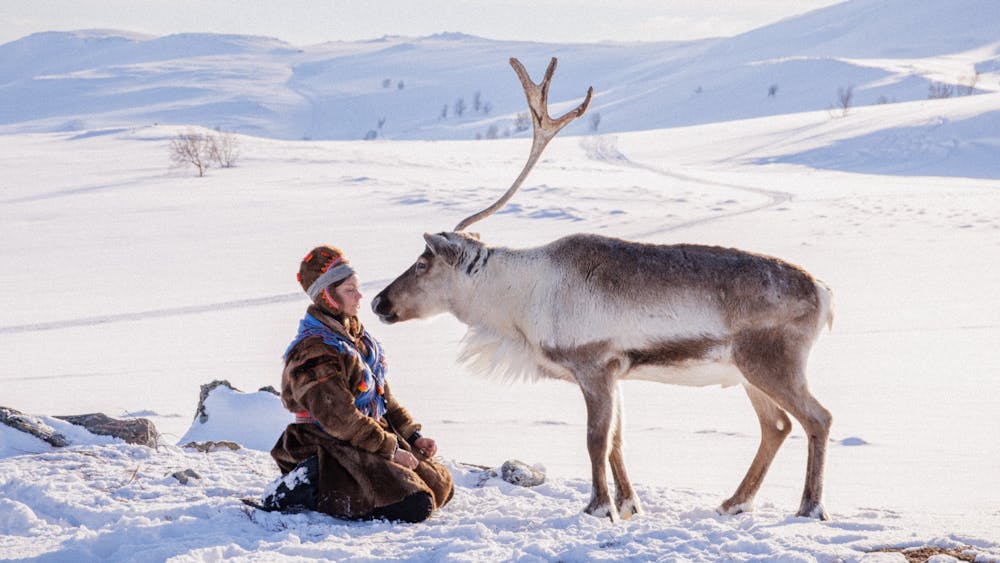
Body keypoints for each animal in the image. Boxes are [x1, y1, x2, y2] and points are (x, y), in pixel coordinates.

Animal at [371, 58, 834, 522]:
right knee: (777, 425)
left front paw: (598, 506)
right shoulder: (616, 372)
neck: (519, 305)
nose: (378, 301)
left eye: (422, 263)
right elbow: (616, 441)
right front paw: (628, 504)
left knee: (818, 418)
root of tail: (824, 293)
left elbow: (596, 439)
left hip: (772, 362)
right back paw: (734, 502)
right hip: (746, 371)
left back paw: (810, 507)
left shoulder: (593, 364)